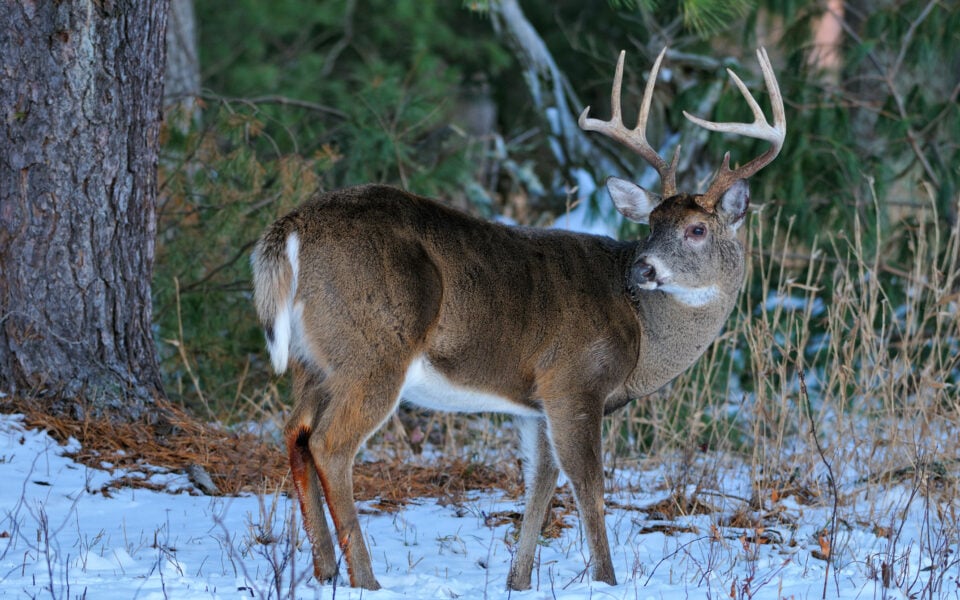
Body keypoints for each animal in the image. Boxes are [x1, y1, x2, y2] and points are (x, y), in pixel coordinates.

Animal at [251, 47, 784, 592]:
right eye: (652, 224)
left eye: (696, 229)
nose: (644, 267)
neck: (641, 331)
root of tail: (293, 228)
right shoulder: (574, 379)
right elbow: (589, 486)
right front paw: (606, 580)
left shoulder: (535, 403)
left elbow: (540, 486)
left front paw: (518, 581)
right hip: (374, 349)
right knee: (330, 444)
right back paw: (366, 580)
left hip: (314, 360)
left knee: (295, 432)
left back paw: (324, 571)